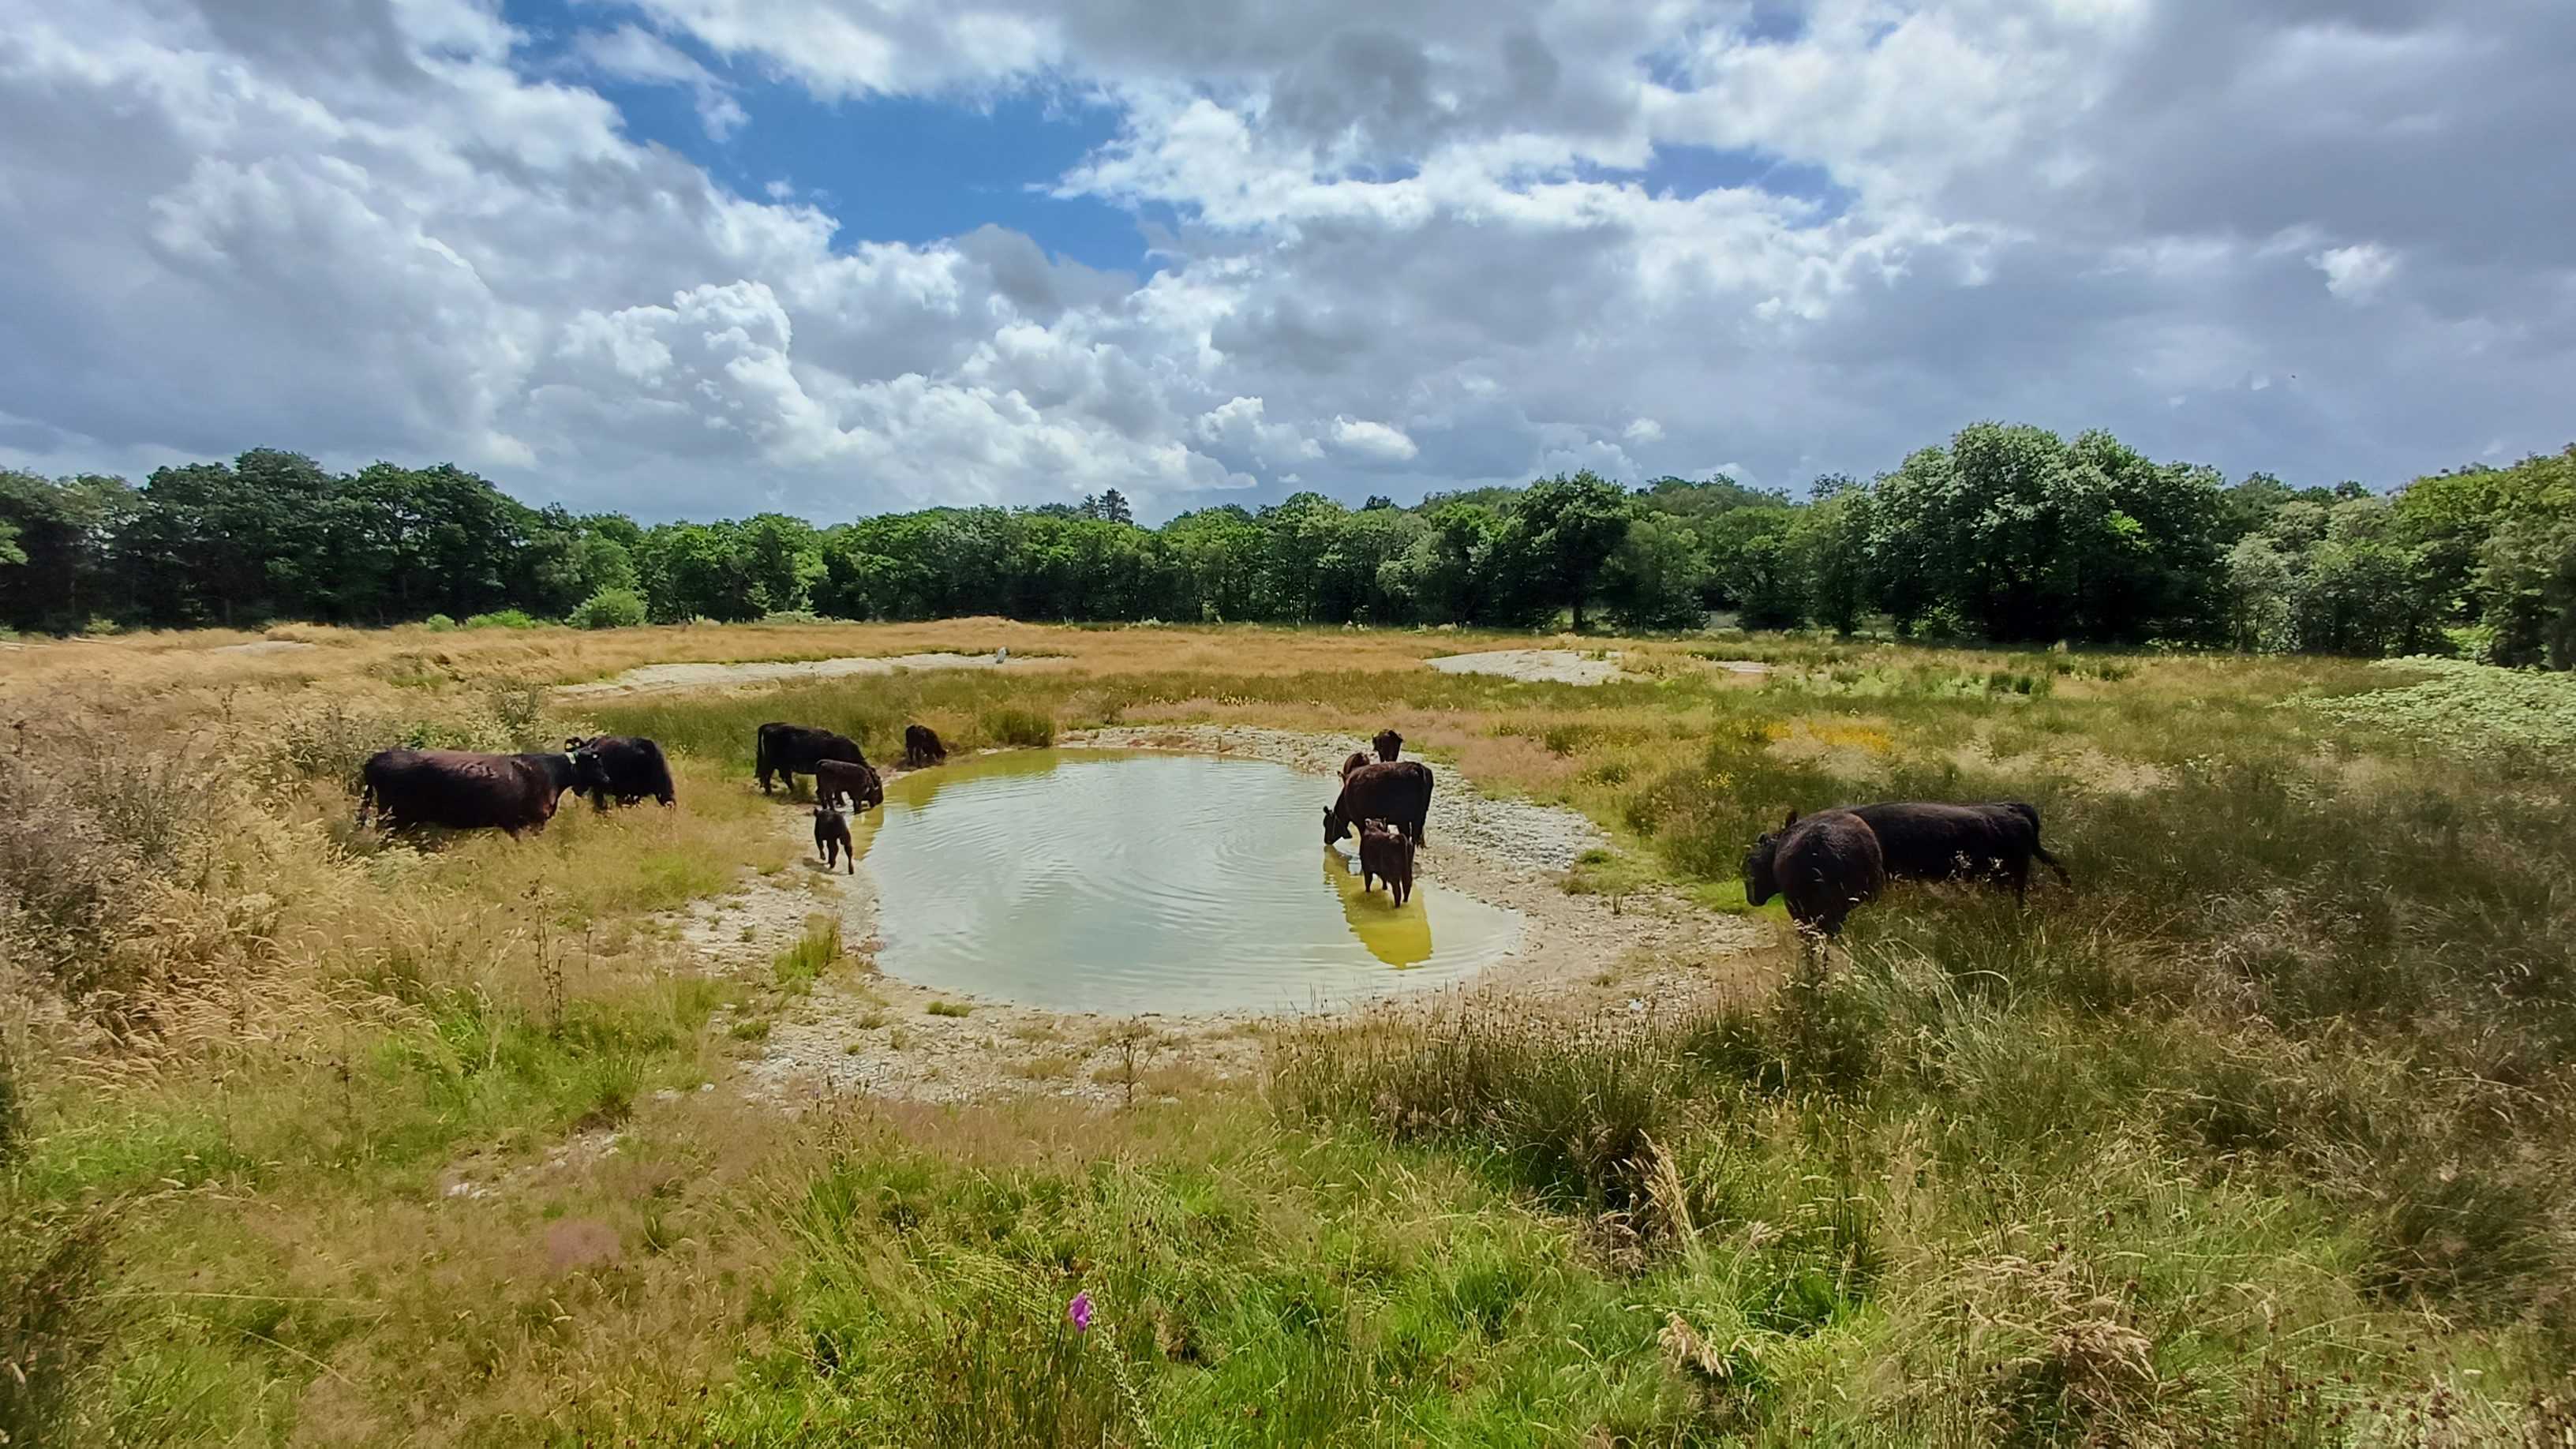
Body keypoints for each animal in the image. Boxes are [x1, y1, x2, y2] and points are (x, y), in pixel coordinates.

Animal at [756, 722, 865, 795]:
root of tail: (770, 725)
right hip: (772, 762)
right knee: (767, 775)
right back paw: (771, 792)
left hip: (780, 764)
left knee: (782, 777)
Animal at [1325, 761, 1433, 849]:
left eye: (1327, 824)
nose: (1326, 841)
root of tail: (1416, 766)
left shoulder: (1359, 819)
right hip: (1417, 818)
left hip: (1404, 819)